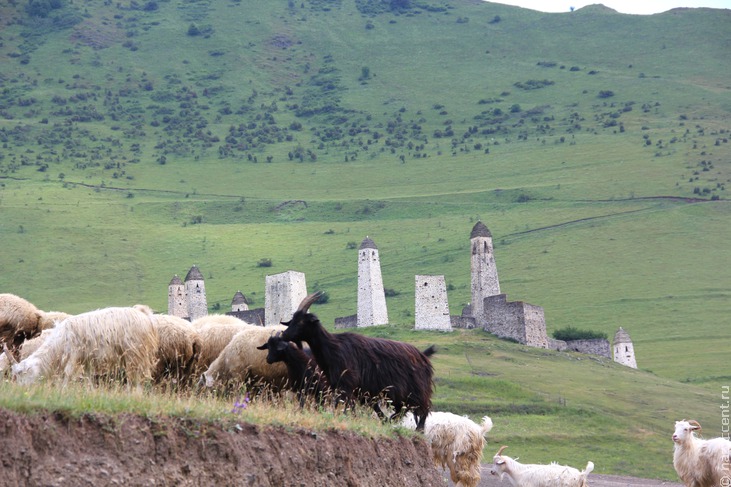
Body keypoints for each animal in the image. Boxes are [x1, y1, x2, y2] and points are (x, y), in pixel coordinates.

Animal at [10, 304, 159, 388]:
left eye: (22, 373)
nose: (20, 390)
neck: (58, 344)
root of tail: (144, 314)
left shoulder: (74, 355)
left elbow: (68, 374)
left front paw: (62, 391)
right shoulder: (87, 359)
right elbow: (89, 378)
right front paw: (91, 392)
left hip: (135, 351)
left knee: (137, 376)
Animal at [280, 292, 434, 432]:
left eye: (301, 321)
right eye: (292, 319)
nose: (284, 335)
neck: (332, 347)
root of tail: (423, 357)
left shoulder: (347, 384)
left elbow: (345, 405)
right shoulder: (351, 387)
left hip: (416, 390)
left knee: (422, 409)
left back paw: (418, 429)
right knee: (402, 409)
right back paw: (391, 421)